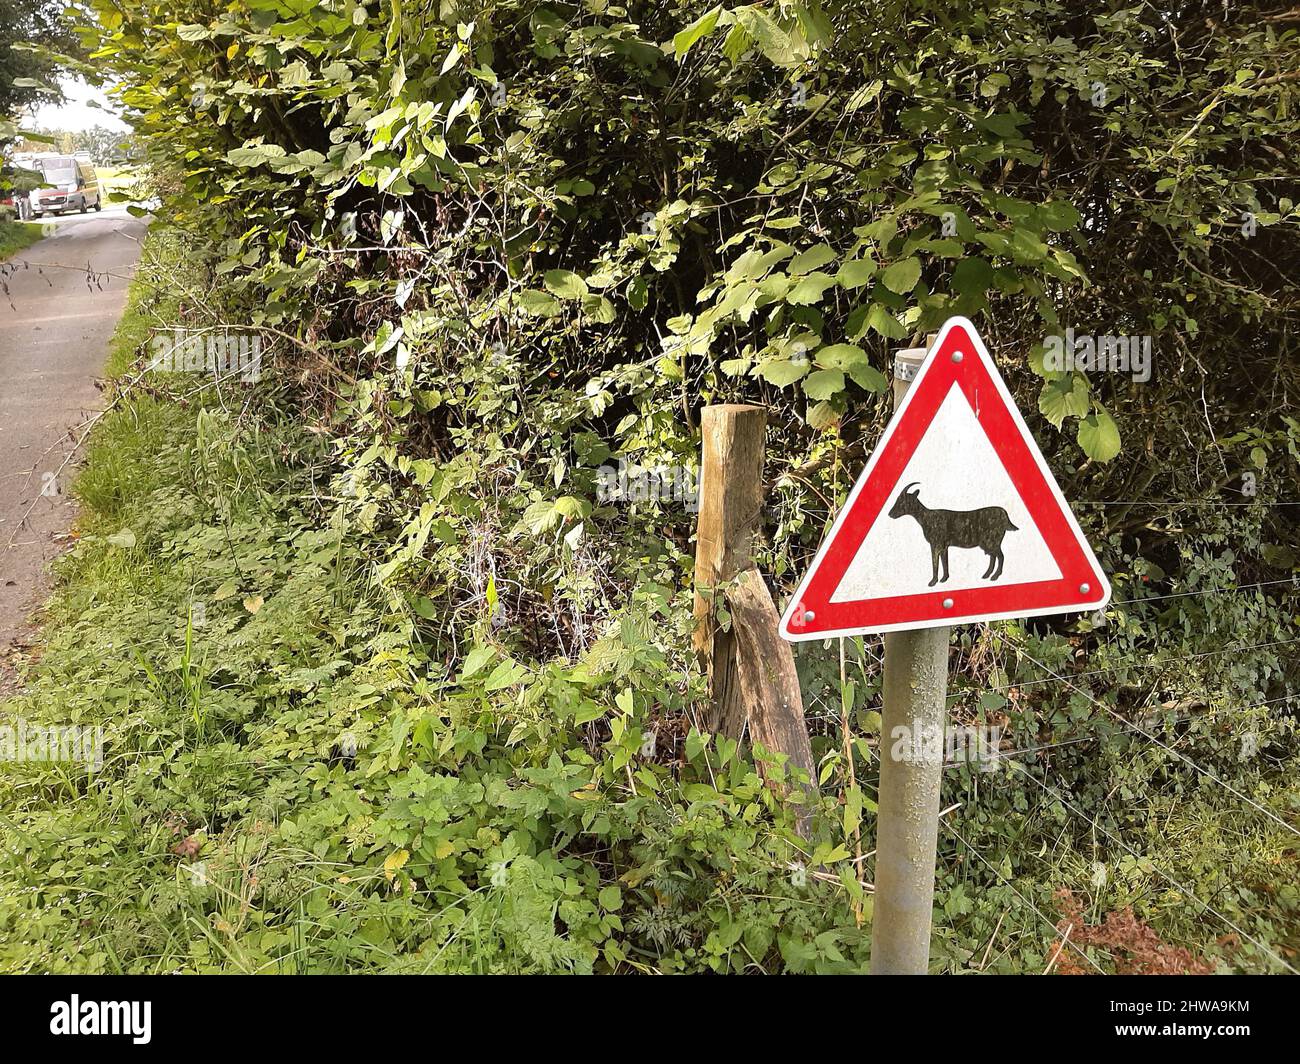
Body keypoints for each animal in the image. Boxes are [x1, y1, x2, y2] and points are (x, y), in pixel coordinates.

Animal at [888, 483, 1018, 586]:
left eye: (902, 501)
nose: (890, 514)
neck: (927, 518)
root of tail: (1005, 515)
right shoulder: (944, 546)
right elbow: (944, 562)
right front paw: (944, 579)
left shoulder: (935, 544)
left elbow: (935, 562)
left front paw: (932, 582)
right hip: (989, 542)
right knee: (993, 556)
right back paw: (986, 575)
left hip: (992, 540)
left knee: (1000, 556)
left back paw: (995, 576)